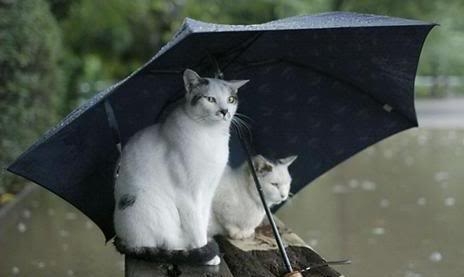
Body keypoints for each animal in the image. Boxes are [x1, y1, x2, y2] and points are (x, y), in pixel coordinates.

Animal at [113, 68, 248, 264]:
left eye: (230, 99)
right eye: (210, 99)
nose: (224, 111)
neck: (211, 135)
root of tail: (123, 239)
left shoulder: (208, 192)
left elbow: (203, 220)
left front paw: (205, 246)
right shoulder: (188, 195)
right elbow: (196, 227)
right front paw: (207, 255)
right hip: (154, 204)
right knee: (165, 243)